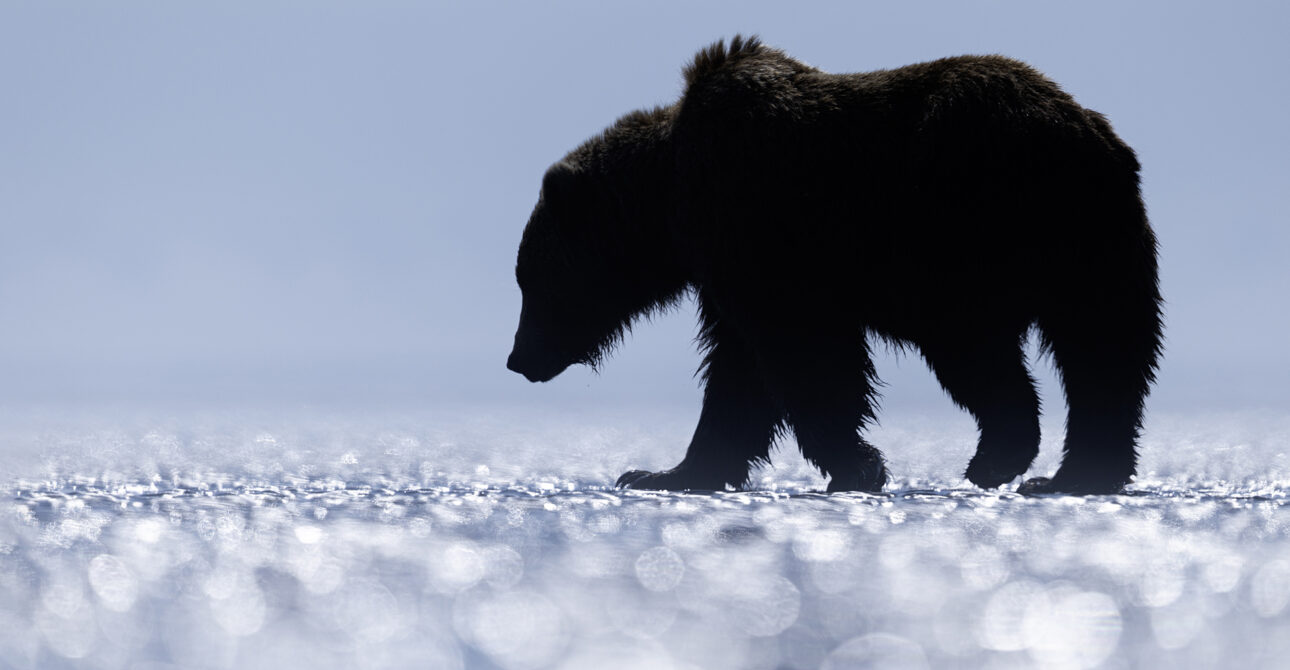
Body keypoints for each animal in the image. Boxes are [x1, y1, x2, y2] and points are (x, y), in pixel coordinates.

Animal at [506, 36, 1162, 494]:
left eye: (530, 280)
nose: (517, 359)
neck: (670, 200)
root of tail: (1089, 132)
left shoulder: (762, 231)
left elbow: (806, 355)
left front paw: (857, 465)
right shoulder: (724, 268)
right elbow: (738, 372)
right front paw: (667, 472)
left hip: (973, 229)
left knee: (1045, 352)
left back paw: (1026, 465)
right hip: (1081, 241)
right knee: (1098, 351)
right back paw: (1054, 468)